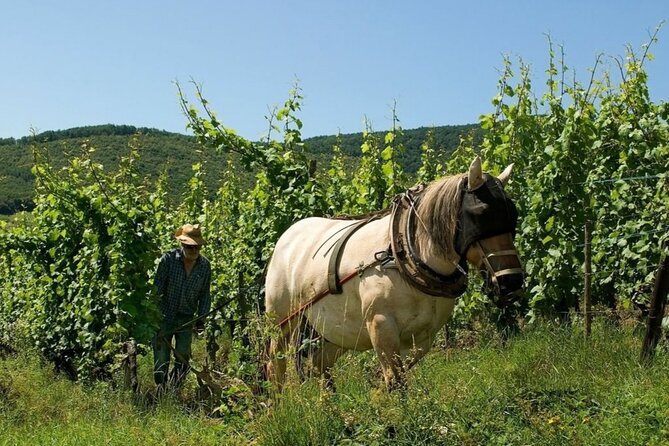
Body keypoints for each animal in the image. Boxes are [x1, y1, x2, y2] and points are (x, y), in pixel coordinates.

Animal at [264, 157, 524, 390]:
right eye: (481, 214)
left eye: (512, 215)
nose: (512, 282)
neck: (404, 256)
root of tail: (287, 235)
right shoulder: (381, 326)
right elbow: (395, 381)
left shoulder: (423, 337)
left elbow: (396, 377)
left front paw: (378, 397)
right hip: (282, 321)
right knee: (275, 365)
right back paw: (277, 405)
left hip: (333, 328)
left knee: (319, 364)